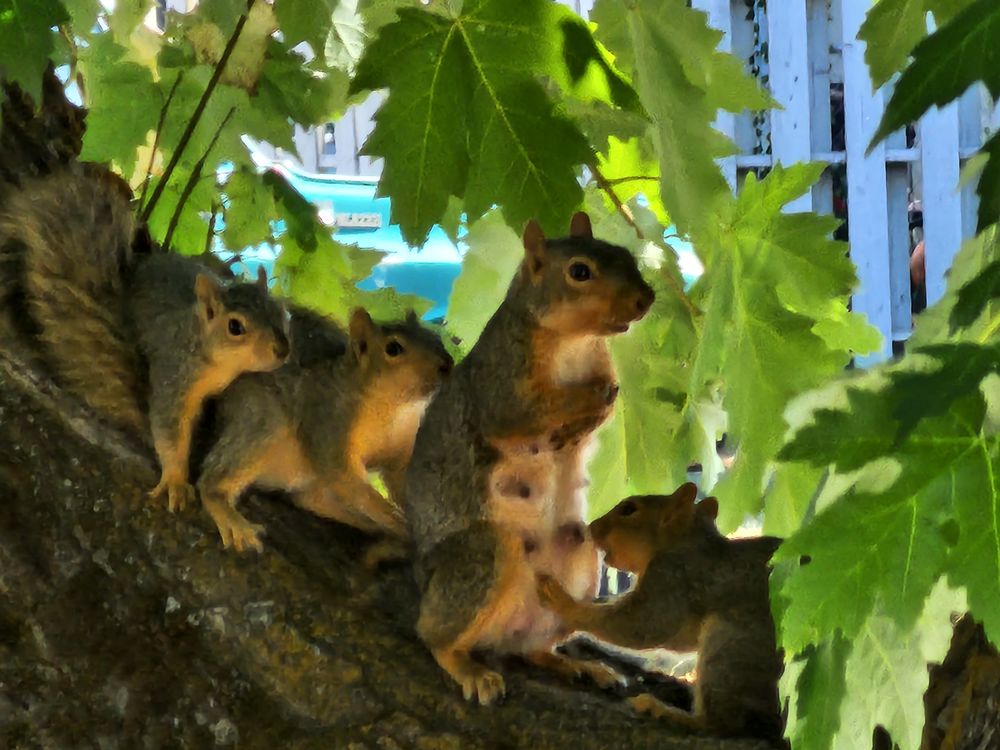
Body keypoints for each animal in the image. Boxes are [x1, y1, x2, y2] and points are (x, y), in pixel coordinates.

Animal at [0, 165, 291, 511]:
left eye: (281, 311)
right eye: (235, 327)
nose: (282, 350)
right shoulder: (173, 375)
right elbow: (169, 430)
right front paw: (175, 480)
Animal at [195, 304, 453, 555]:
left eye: (435, 338)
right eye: (393, 348)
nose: (447, 364)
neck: (393, 408)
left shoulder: (401, 449)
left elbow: (400, 481)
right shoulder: (328, 421)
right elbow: (346, 479)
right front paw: (394, 518)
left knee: (308, 498)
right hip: (261, 423)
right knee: (215, 478)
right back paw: (229, 516)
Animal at [404, 211, 655, 705]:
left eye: (624, 254)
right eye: (579, 272)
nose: (645, 299)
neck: (575, 340)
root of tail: (501, 631)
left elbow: (608, 404)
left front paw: (588, 418)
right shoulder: (501, 383)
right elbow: (529, 411)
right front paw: (586, 402)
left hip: (580, 555)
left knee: (531, 648)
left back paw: (577, 664)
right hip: (484, 556)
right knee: (432, 636)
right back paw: (468, 669)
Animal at [535, 482, 786, 742]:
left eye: (629, 509)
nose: (592, 527)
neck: (685, 541)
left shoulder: (673, 576)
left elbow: (641, 624)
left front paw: (563, 601)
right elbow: (680, 639)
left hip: (732, 647)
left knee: (724, 725)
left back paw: (670, 712)